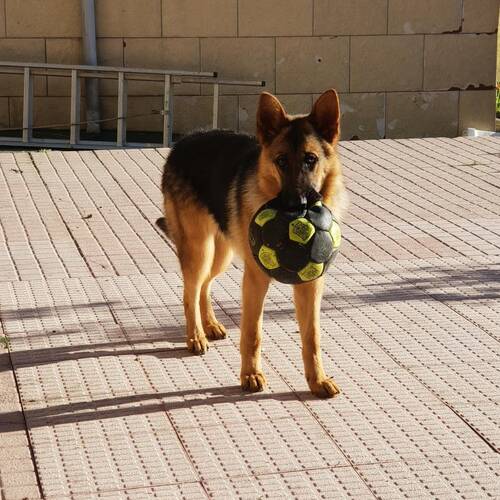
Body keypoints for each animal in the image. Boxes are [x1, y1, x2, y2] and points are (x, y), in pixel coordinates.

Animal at [157, 90, 348, 398]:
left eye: (311, 159)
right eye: (281, 161)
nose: (297, 206)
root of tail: (184, 141)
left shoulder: (310, 284)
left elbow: (312, 337)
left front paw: (317, 380)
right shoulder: (255, 279)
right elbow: (252, 333)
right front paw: (250, 375)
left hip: (220, 255)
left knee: (204, 286)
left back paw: (209, 325)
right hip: (200, 251)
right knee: (190, 292)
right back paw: (195, 335)